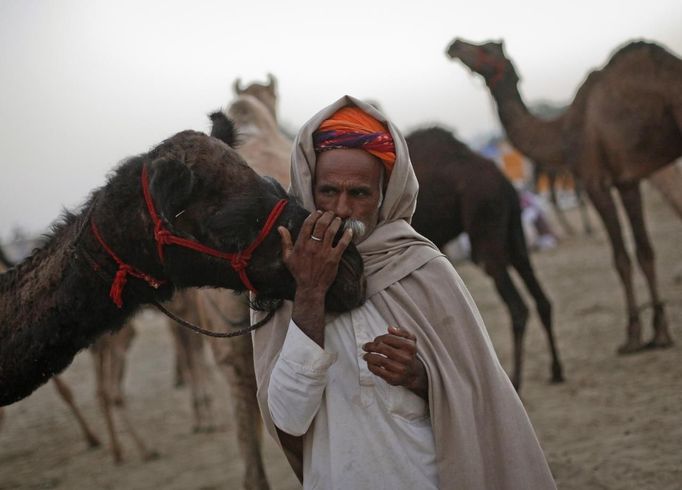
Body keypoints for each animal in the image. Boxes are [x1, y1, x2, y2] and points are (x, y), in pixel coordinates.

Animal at [406, 125, 560, 390]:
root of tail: (505, 183)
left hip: (485, 224)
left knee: (517, 305)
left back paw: (515, 380)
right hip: (514, 234)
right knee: (540, 296)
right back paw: (556, 371)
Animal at [446, 38, 680, 352]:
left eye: (485, 48)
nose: (454, 44)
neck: (563, 132)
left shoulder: (595, 182)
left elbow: (621, 258)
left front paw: (632, 337)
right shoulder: (627, 182)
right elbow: (645, 252)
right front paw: (661, 333)